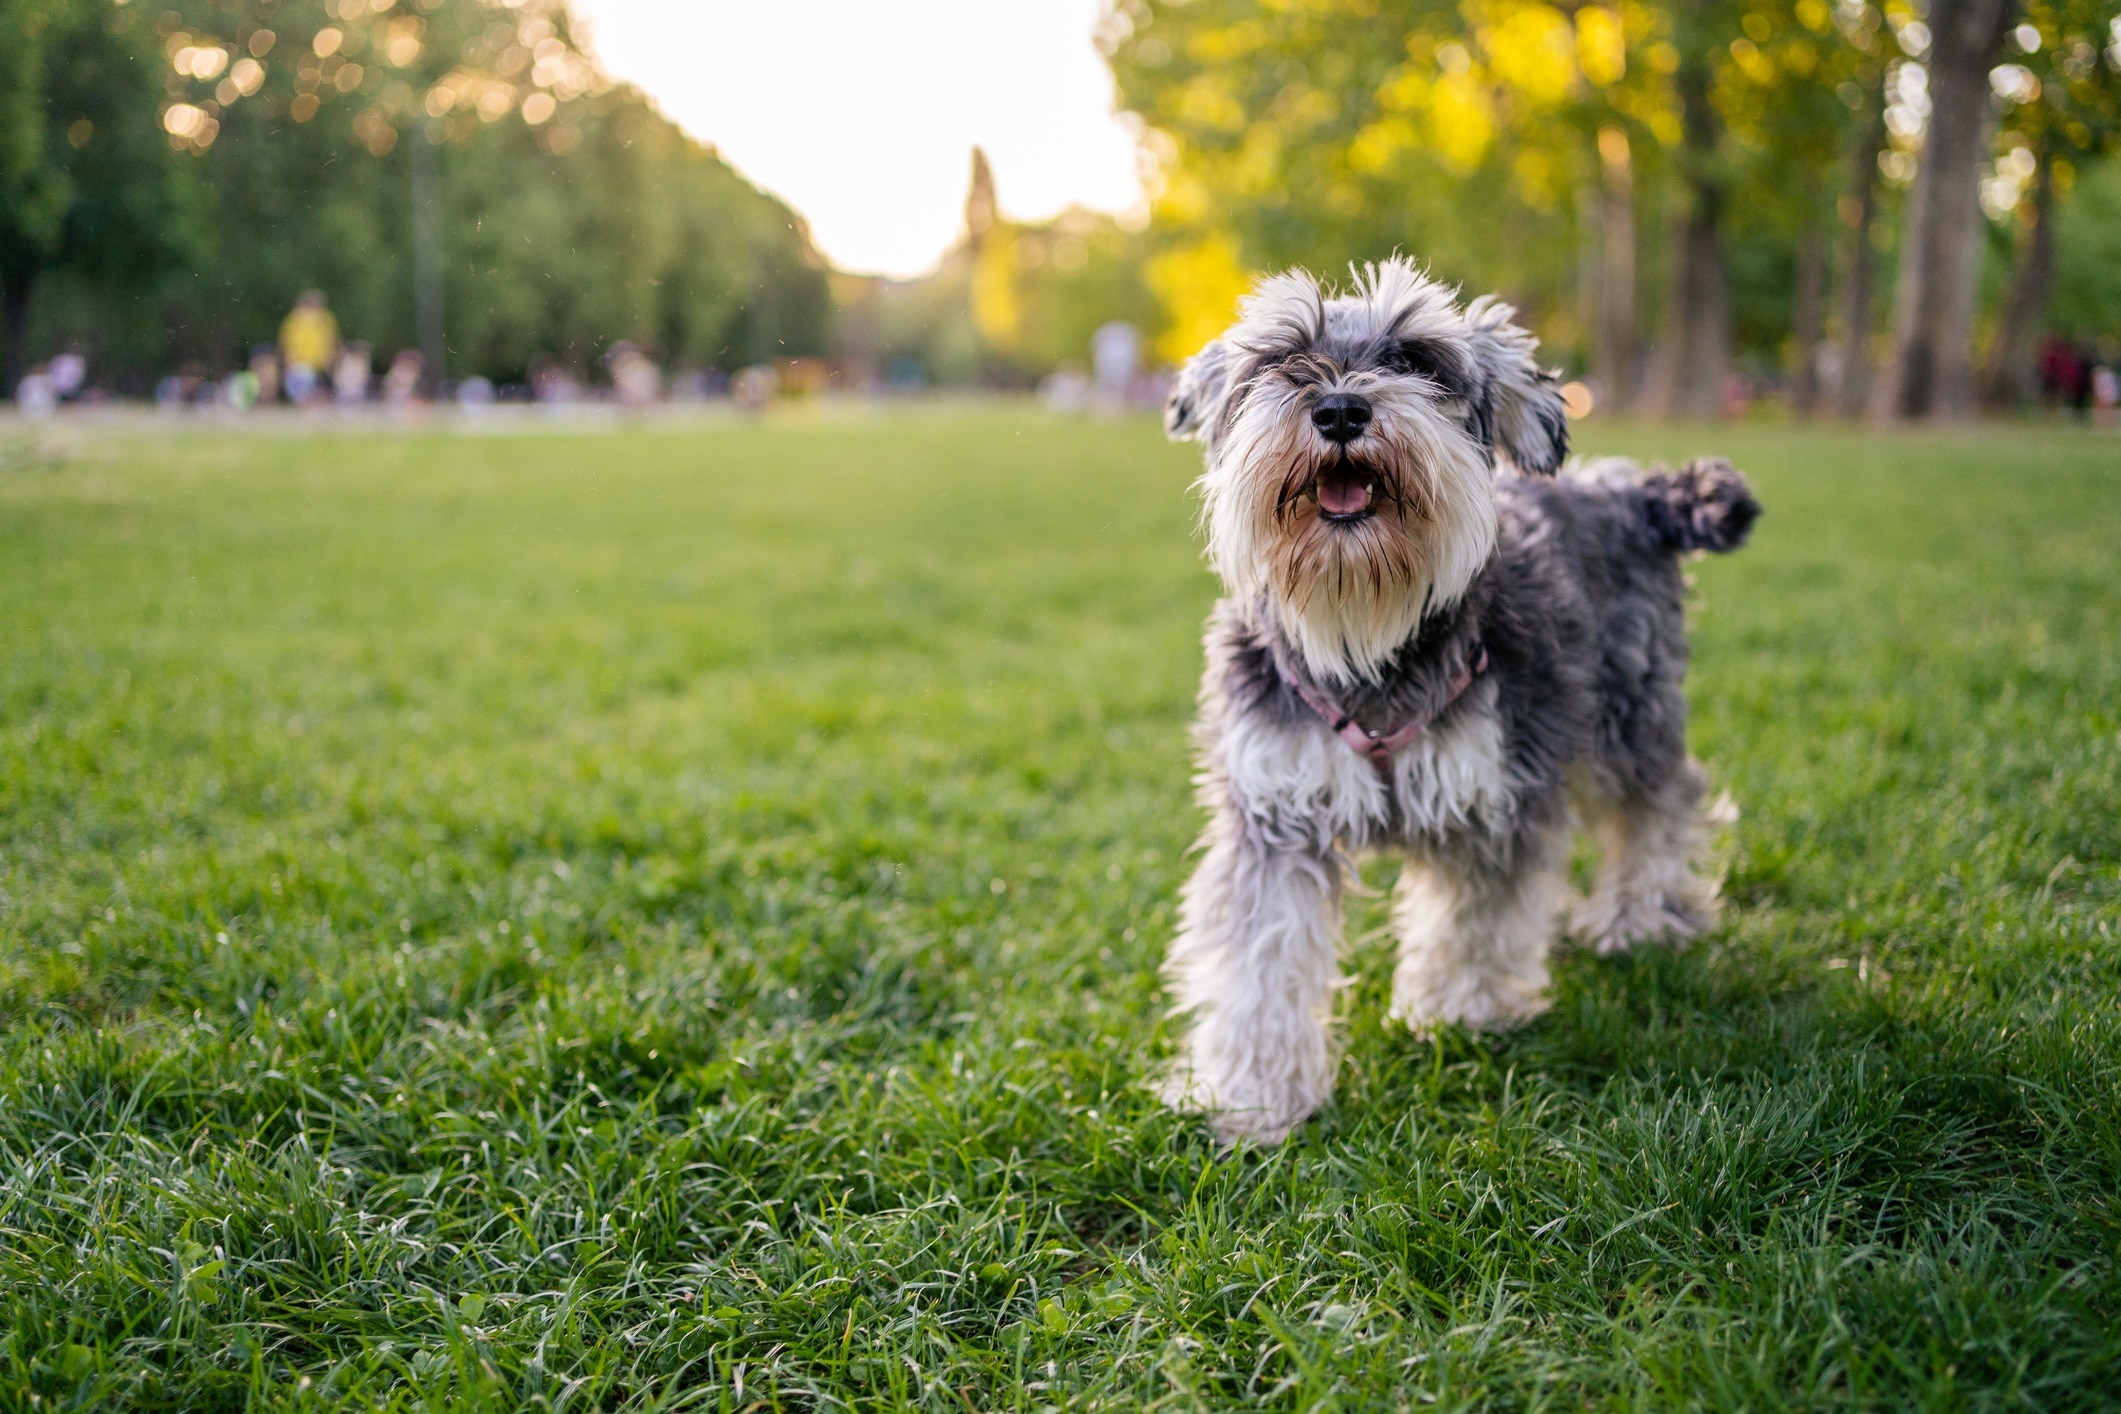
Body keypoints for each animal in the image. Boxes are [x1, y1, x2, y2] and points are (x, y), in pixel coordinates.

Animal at [1162, 257, 1756, 1153]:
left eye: (1415, 359)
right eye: (1280, 359)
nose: (1340, 408)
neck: (1364, 633)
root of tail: (1636, 493)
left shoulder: (1493, 796)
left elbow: (1476, 918)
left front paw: (1458, 1014)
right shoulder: (1275, 815)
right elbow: (1261, 960)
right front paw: (1255, 1095)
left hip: (1626, 716)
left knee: (1658, 803)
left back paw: (1639, 916)